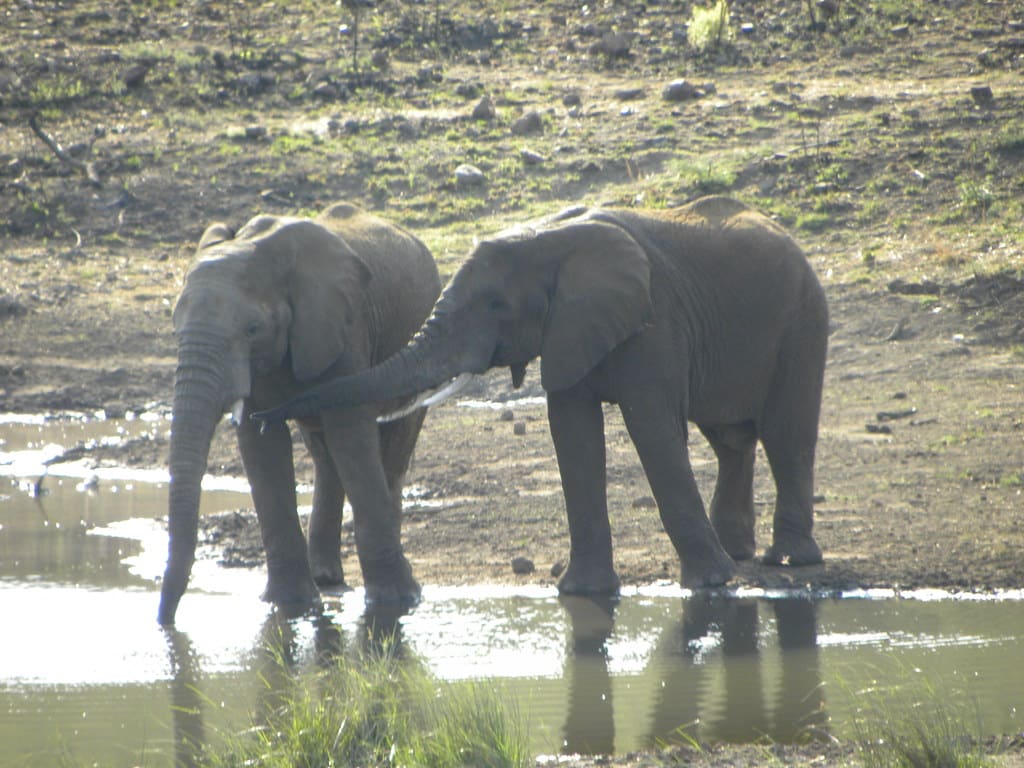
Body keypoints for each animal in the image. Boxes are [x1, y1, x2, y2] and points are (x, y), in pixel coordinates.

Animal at [157, 202, 441, 625]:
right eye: (176, 329)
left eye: (253, 328)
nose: (166, 624)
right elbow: (262, 450)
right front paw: (290, 605)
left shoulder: (345, 326)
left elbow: (351, 436)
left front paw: (397, 602)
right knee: (326, 456)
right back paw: (325, 578)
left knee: (390, 449)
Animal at [253, 196, 828, 594]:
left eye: (495, 305)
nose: (262, 412)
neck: (550, 238)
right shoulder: (568, 328)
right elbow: (571, 433)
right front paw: (584, 593)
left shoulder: (655, 319)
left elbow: (653, 428)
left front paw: (709, 585)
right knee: (732, 442)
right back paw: (741, 552)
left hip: (804, 317)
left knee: (787, 436)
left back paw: (789, 560)